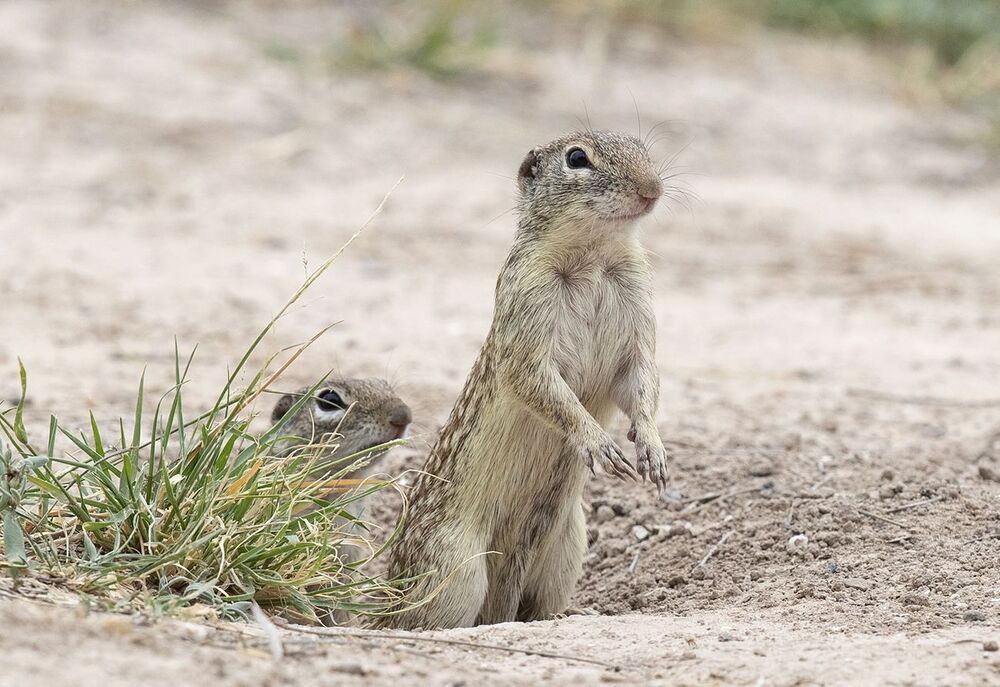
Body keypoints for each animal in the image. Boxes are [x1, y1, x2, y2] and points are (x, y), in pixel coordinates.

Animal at [374, 130, 669, 630]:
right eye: (577, 158)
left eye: (641, 146)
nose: (652, 189)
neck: (595, 256)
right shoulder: (526, 316)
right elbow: (539, 383)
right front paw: (598, 442)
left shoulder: (637, 315)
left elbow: (641, 382)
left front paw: (651, 446)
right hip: (457, 568)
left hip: (567, 550)